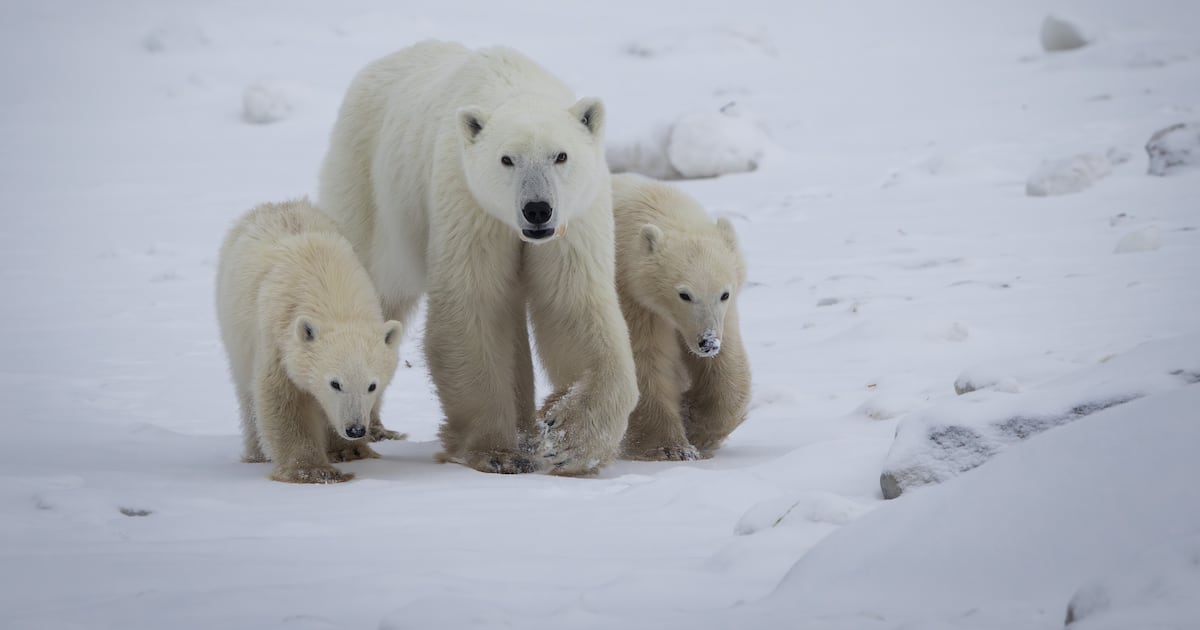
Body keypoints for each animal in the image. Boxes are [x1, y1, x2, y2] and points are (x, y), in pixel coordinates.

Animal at [215, 198, 403, 483]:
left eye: (372, 385)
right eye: (335, 383)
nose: (356, 429)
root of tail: (278, 204)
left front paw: (349, 451)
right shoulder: (279, 339)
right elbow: (284, 400)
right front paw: (313, 470)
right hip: (235, 330)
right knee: (247, 393)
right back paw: (256, 454)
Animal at [317, 41, 637, 476]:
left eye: (561, 156)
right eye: (507, 159)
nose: (537, 210)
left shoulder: (574, 221)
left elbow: (573, 307)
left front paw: (569, 440)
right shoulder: (470, 205)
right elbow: (474, 308)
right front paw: (497, 452)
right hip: (368, 188)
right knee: (372, 290)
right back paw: (359, 434)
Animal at [611, 174, 751, 461]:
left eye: (724, 293)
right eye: (684, 295)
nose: (707, 342)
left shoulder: (724, 315)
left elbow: (726, 367)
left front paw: (697, 424)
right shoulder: (635, 299)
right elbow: (647, 362)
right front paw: (672, 448)